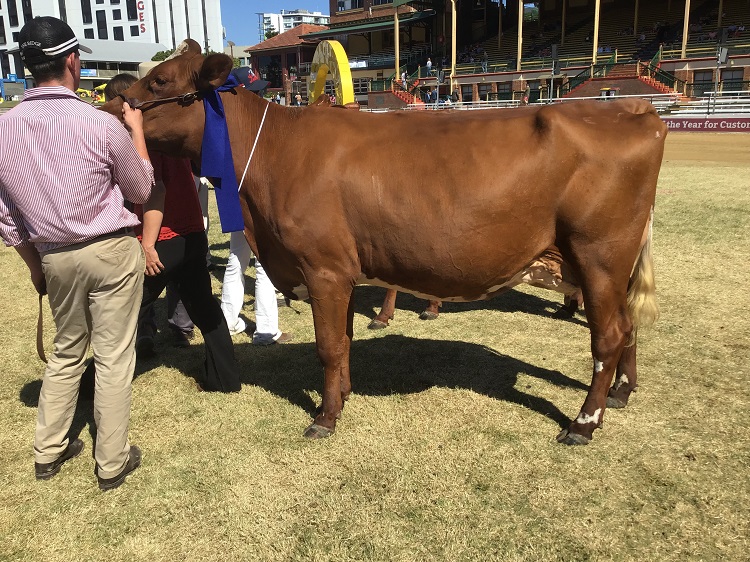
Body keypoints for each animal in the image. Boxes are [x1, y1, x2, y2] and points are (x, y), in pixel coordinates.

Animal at [103, 38, 668, 442]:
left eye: (161, 79)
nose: (110, 112)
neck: (273, 152)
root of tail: (635, 110)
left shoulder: (324, 268)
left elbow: (329, 345)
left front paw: (325, 419)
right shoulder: (342, 271)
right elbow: (345, 342)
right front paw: (343, 397)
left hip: (598, 254)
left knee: (608, 335)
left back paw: (584, 423)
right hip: (613, 263)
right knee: (628, 326)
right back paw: (622, 393)